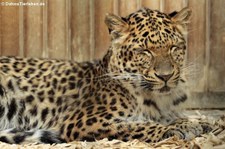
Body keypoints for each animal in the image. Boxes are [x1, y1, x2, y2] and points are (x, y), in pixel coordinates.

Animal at [0, 7, 218, 144]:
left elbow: (177, 117)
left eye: (173, 48)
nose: (165, 76)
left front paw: (204, 123)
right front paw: (174, 129)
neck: (157, 99)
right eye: (144, 51)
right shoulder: (84, 120)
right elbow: (138, 125)